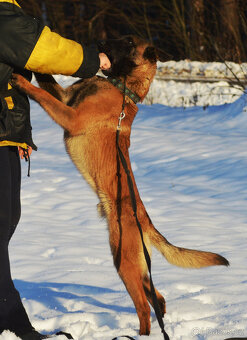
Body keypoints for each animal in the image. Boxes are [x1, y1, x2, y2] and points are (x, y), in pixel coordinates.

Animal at [11, 36, 228, 334]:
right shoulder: (66, 99)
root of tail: (146, 223)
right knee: (156, 297)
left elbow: (41, 94)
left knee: (144, 309)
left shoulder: (70, 116)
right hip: (135, 265)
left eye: (127, 42)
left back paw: (140, 334)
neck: (122, 87)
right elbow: (48, 81)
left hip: (122, 260)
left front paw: (22, 81)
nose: (99, 42)